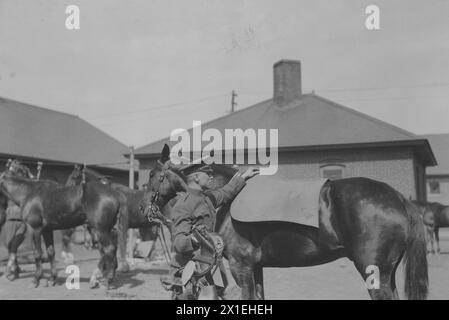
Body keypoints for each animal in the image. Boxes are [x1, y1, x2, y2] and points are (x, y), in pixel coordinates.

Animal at [0, 168, 128, 288]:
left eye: (75, 176)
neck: (28, 192)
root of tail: (115, 194)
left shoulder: (34, 228)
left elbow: (37, 253)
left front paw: (35, 280)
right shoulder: (47, 230)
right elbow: (50, 252)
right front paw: (52, 279)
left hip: (101, 230)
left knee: (109, 249)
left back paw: (107, 280)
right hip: (106, 229)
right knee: (110, 250)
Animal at [141, 145, 428, 300]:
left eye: (153, 175)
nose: (145, 209)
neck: (225, 203)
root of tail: (399, 199)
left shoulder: (241, 267)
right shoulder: (255, 268)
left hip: (374, 272)